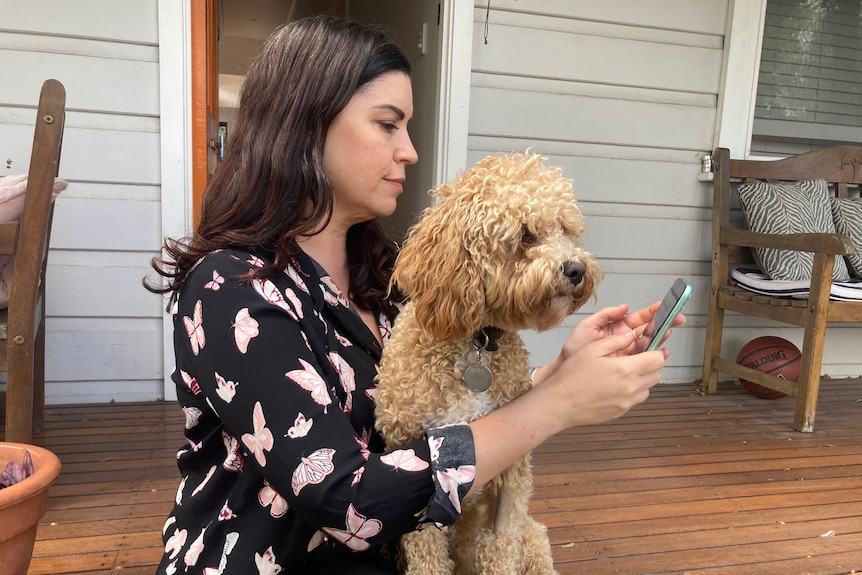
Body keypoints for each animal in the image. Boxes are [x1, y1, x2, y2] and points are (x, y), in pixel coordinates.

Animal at [378, 151, 600, 572]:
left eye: (566, 230)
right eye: (526, 235)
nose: (577, 269)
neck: (476, 339)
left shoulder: (511, 478)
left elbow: (500, 544)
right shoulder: (418, 475)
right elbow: (427, 555)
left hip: (534, 538)